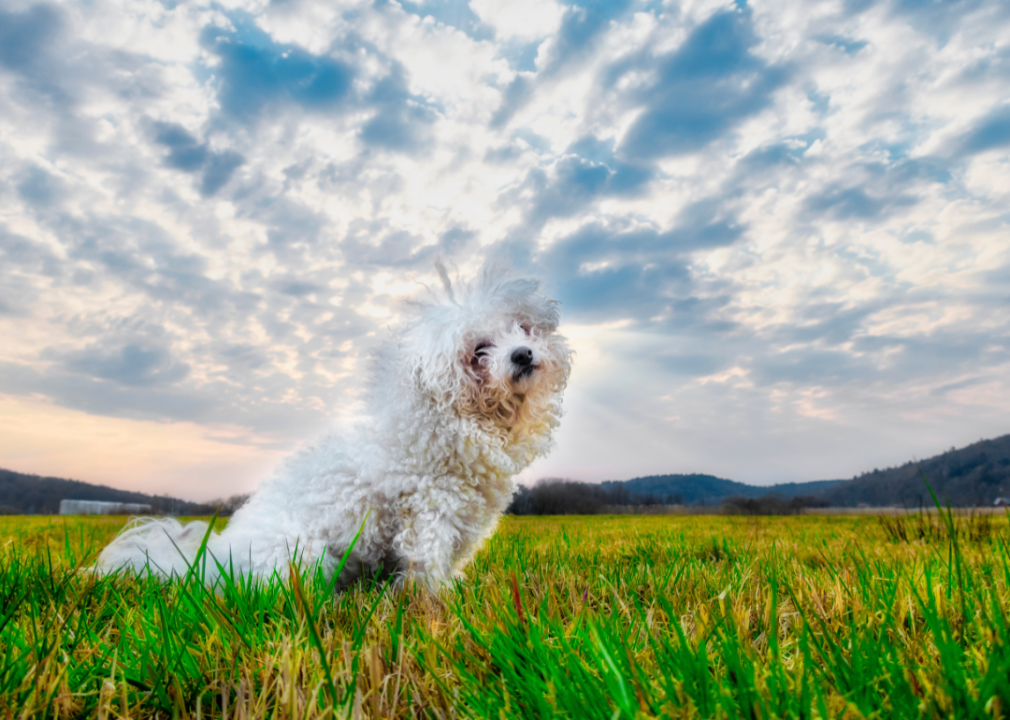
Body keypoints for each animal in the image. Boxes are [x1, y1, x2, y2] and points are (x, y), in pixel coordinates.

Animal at [97, 264, 573, 589]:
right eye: (479, 351)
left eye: (521, 327)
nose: (523, 354)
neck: (455, 416)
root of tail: (214, 562)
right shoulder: (430, 515)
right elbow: (426, 570)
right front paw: (434, 610)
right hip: (301, 553)